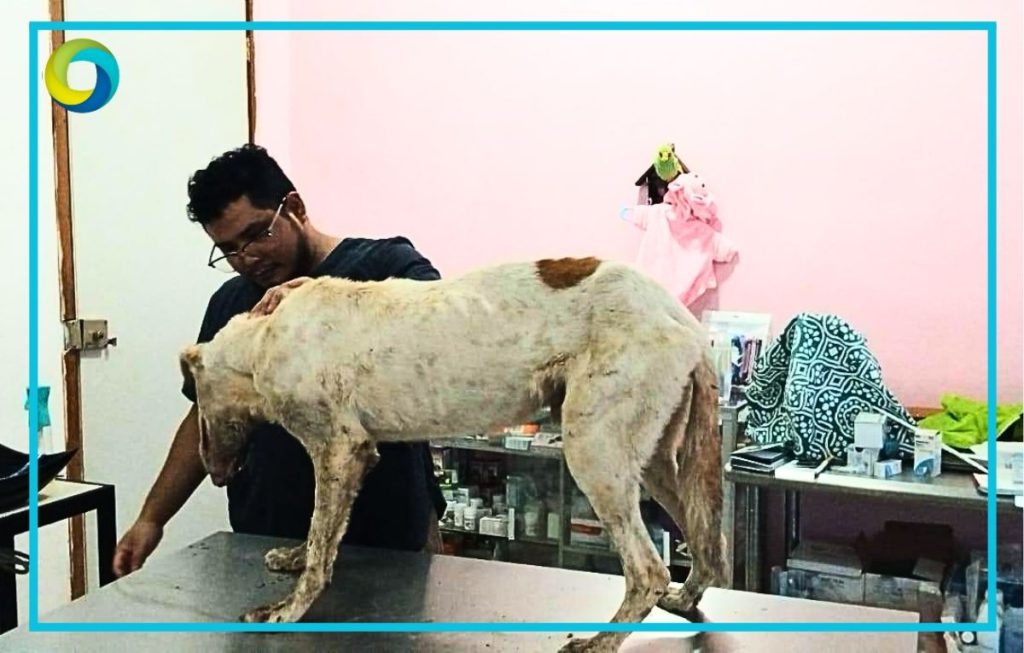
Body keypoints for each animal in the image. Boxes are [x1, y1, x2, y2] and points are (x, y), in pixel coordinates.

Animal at [179, 256, 727, 652]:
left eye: (195, 400)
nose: (214, 472)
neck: (264, 338)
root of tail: (687, 325)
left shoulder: (340, 448)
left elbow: (319, 545)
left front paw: (287, 610)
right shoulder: (358, 455)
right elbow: (322, 537)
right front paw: (292, 558)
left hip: (595, 450)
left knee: (648, 570)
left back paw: (600, 642)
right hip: (654, 460)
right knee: (708, 542)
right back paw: (684, 599)